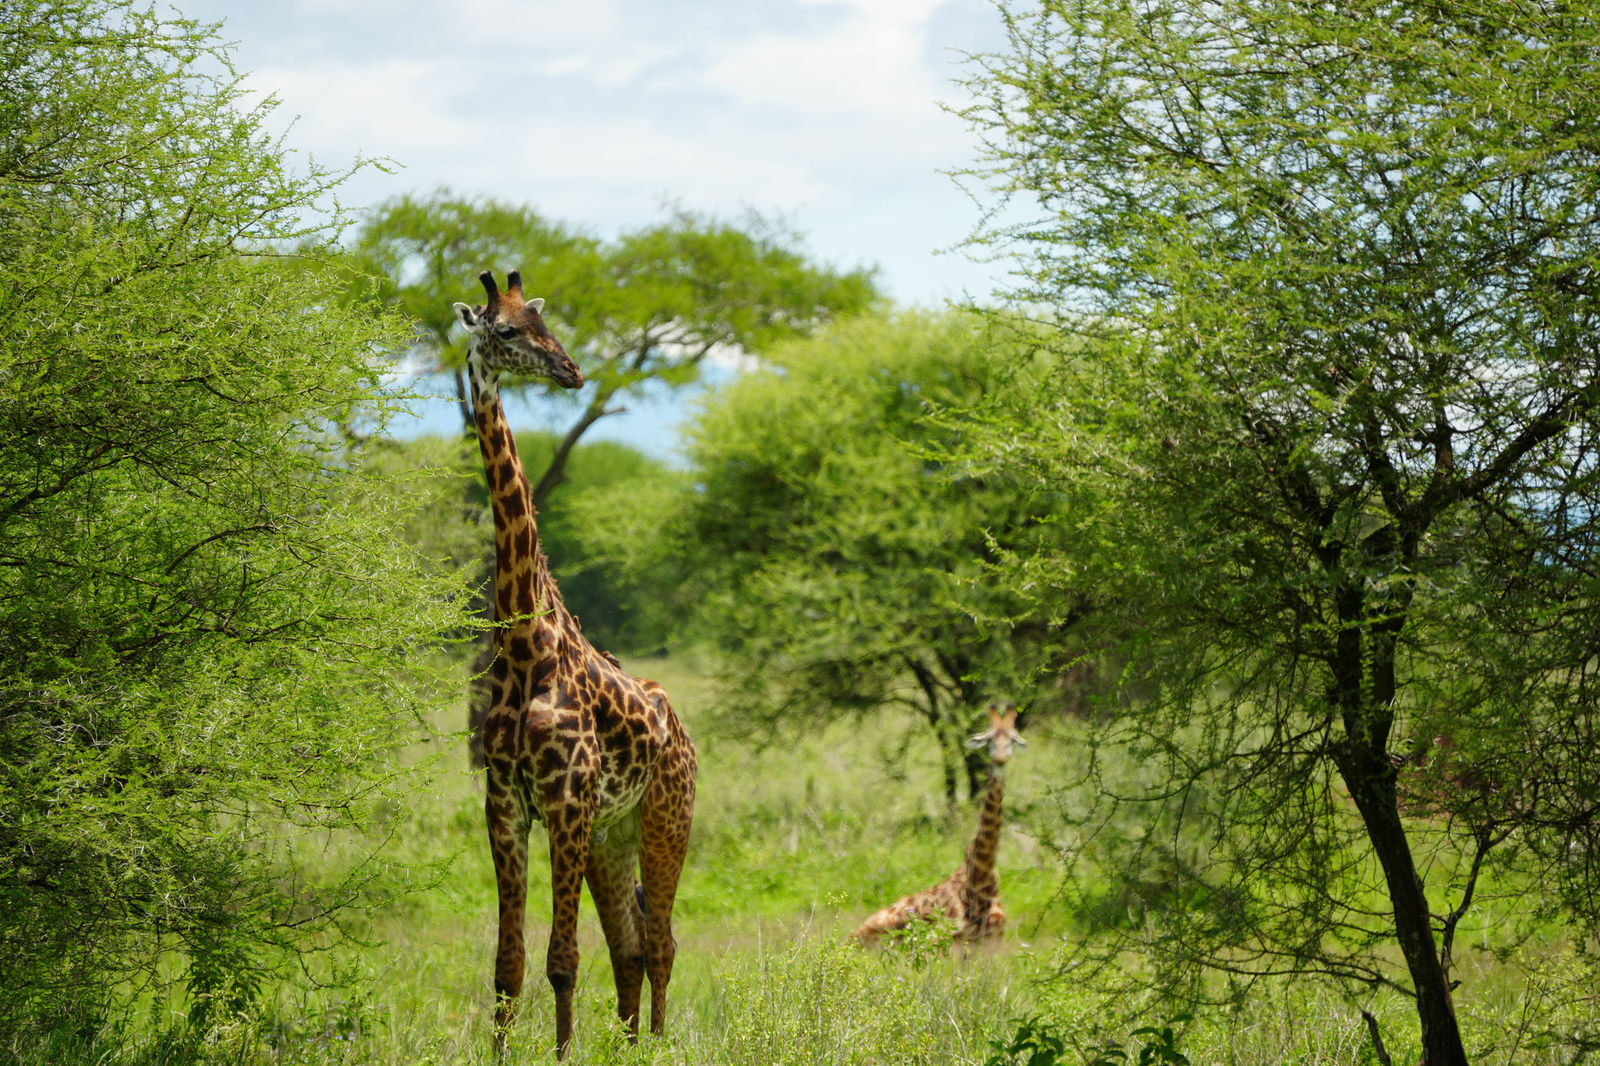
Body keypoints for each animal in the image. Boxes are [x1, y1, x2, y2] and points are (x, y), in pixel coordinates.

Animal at [452, 270, 697, 1059]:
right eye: (504, 331)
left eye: (543, 323)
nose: (571, 370)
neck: (527, 646)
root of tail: (682, 730)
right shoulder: (506, 804)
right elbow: (509, 966)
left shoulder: (563, 800)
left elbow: (562, 961)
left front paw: (563, 1054)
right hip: (609, 836)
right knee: (631, 944)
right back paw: (631, 1046)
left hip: (666, 817)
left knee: (662, 943)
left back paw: (656, 1046)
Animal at [852, 703, 1024, 947]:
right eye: (988, 739)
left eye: (1014, 739)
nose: (1000, 758)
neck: (981, 881)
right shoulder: (945, 938)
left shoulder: (992, 939)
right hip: (876, 932)